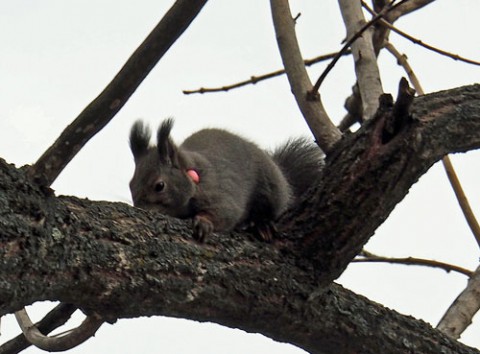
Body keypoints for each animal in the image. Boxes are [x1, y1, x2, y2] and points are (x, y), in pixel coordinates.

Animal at [128, 117, 322, 242]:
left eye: (159, 186)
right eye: (130, 185)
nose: (141, 210)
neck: (195, 180)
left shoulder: (218, 190)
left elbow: (226, 212)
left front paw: (204, 222)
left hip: (271, 187)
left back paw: (263, 225)